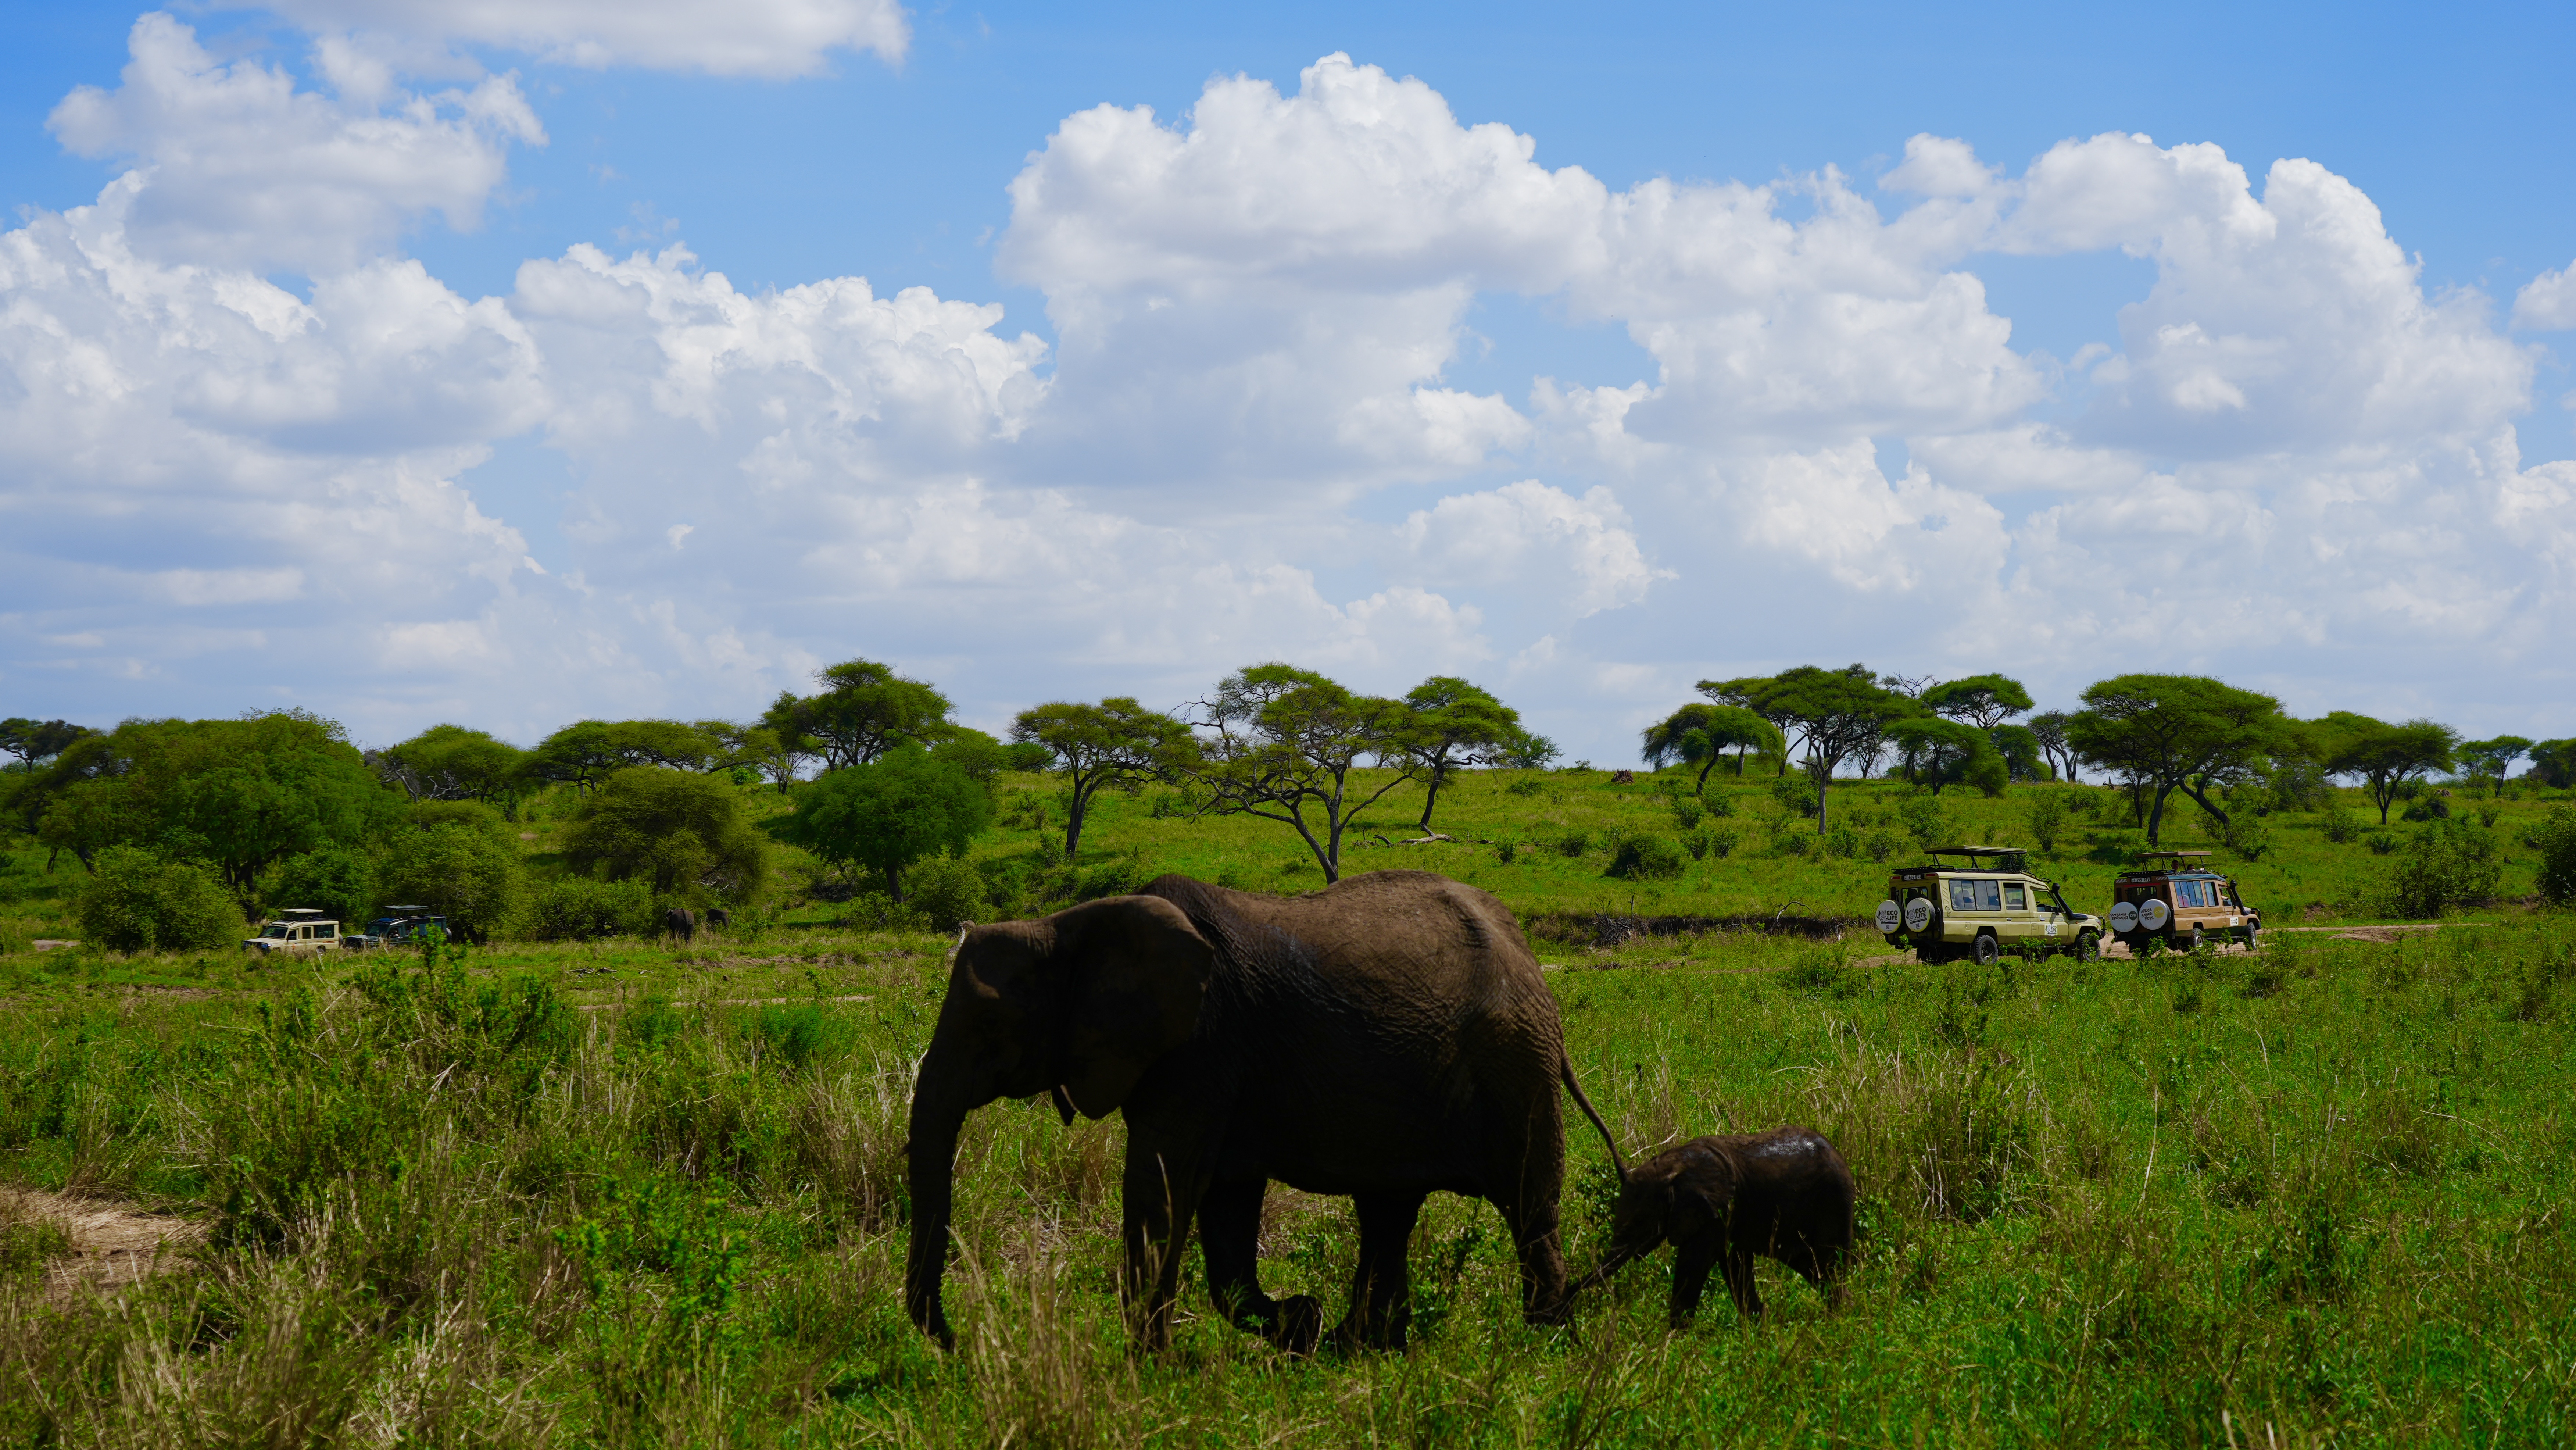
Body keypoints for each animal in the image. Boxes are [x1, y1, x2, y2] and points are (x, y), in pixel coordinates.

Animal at [904, 870, 1620, 1354]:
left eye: (990, 1025)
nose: (954, 1340)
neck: (1067, 925)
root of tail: (1526, 953)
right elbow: (1223, 1203)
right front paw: (1300, 1324)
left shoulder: (1201, 1043)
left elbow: (1162, 1187)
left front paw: (1144, 1369)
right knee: (1388, 1210)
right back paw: (1362, 1347)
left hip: (1515, 1062)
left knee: (1528, 1204)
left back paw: (1541, 1343)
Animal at [1574, 1127, 1853, 1326]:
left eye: (1641, 1222)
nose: (1569, 1295)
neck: (1672, 1165)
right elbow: (1735, 1266)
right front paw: (1758, 1329)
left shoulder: (1715, 1212)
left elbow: (1694, 1268)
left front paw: (1673, 1347)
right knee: (1813, 1267)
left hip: (1834, 1201)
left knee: (1829, 1265)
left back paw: (1840, 1322)